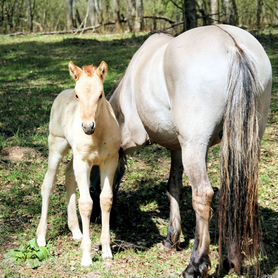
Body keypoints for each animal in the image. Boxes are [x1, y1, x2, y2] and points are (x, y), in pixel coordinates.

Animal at [36, 61, 120, 268]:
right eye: (77, 95)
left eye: (101, 94)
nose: (87, 126)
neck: (97, 136)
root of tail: (61, 93)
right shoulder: (83, 162)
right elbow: (86, 203)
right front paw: (87, 258)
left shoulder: (109, 161)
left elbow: (105, 199)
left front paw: (106, 251)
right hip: (57, 146)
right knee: (48, 184)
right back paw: (41, 237)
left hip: (74, 155)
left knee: (68, 175)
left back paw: (76, 231)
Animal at [95, 25, 272, 276]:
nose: (95, 218)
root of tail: (233, 45)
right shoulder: (177, 149)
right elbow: (174, 187)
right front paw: (172, 238)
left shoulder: (133, 142)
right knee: (237, 191)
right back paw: (232, 258)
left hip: (194, 147)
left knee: (203, 195)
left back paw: (196, 263)